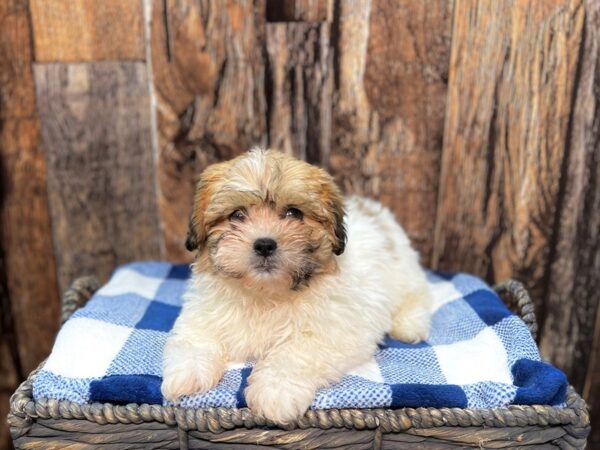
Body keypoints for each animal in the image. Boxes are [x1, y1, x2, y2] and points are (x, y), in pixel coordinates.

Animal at [159, 149, 432, 424]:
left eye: (294, 213)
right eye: (237, 215)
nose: (265, 245)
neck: (264, 293)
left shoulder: (335, 330)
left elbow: (296, 352)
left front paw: (275, 391)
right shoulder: (204, 312)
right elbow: (196, 338)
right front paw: (187, 373)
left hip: (404, 273)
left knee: (418, 295)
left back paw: (409, 325)